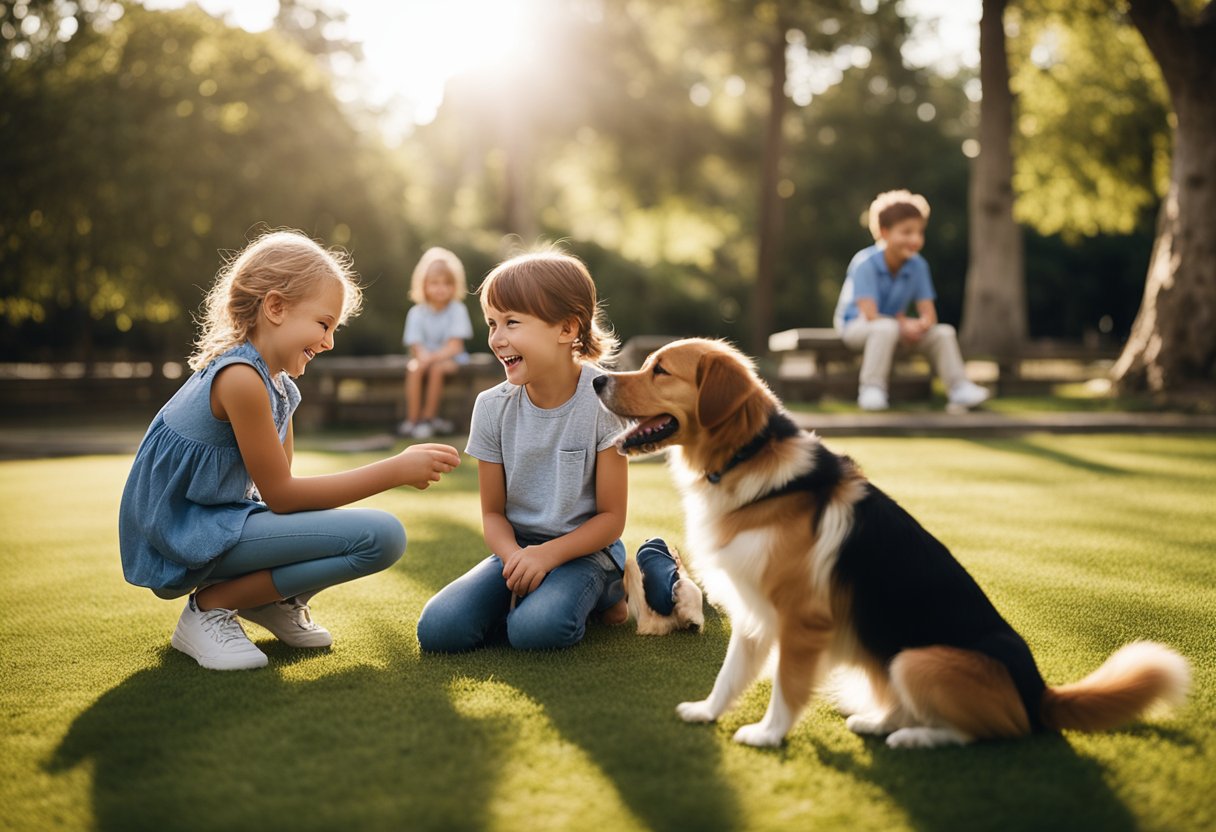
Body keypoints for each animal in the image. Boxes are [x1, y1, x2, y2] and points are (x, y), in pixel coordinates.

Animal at [593, 338, 1191, 749]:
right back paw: (878, 720)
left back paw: (915, 737)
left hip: (916, 661)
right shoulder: (754, 612)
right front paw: (706, 711)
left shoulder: (802, 621)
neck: (747, 460)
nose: (597, 382)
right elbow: (730, 675)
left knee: (992, 731)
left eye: (660, 370)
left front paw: (767, 736)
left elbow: (787, 687)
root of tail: (1039, 691)